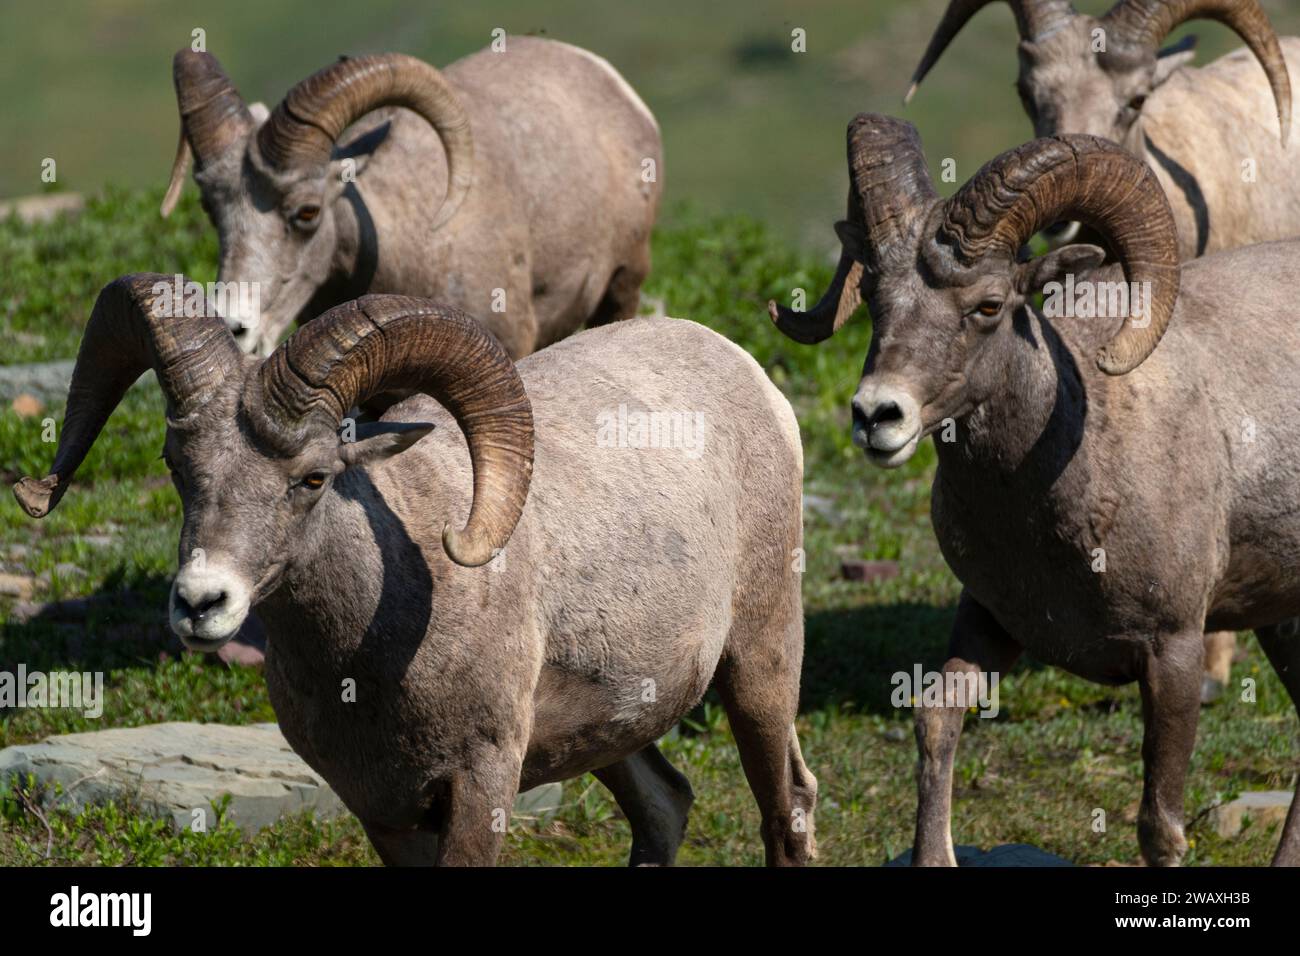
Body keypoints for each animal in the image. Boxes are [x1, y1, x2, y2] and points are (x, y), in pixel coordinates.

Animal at [15, 277, 816, 868]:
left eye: (313, 478)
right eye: (178, 467)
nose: (201, 602)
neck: (368, 656)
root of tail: (749, 375)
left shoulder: (479, 790)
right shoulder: (385, 813)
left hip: (759, 668)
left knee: (788, 810)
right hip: (613, 732)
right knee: (664, 807)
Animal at [764, 113, 1300, 868]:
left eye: (989, 305)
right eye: (872, 298)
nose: (876, 416)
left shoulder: (1173, 653)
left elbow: (1159, 825)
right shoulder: (989, 619)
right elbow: (936, 723)